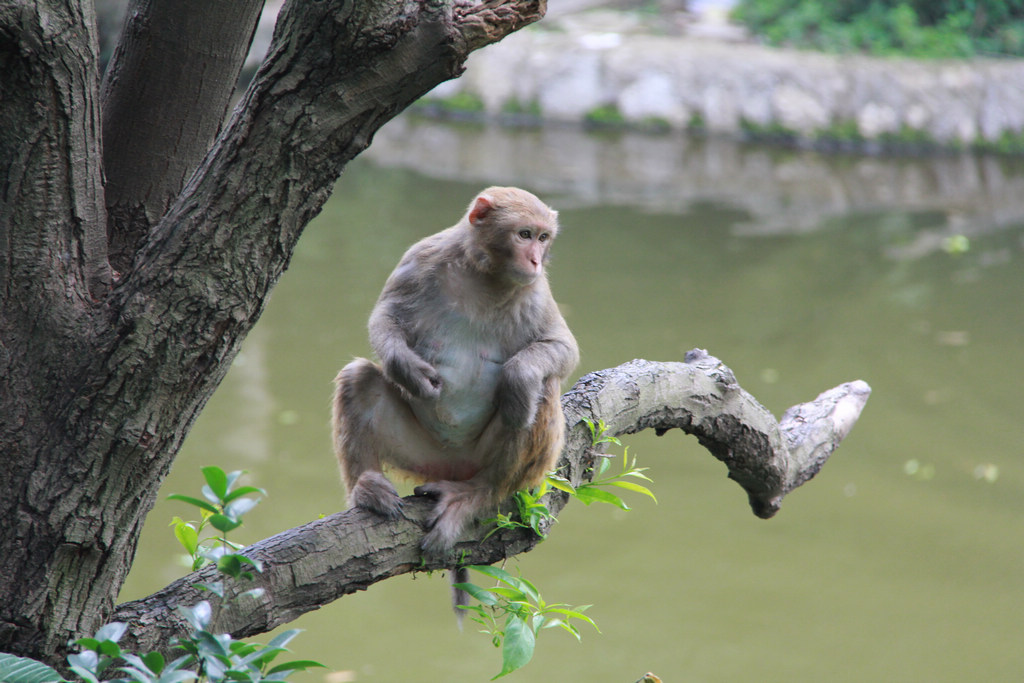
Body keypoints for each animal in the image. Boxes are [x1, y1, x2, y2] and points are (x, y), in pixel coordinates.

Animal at [333, 185, 581, 557]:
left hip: (482, 459)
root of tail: (454, 466)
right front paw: (406, 368)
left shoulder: (535, 291)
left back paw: (477, 493)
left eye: (543, 237)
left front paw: (519, 376)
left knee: (540, 390)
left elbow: (563, 348)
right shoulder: (420, 257)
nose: (536, 260)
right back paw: (366, 487)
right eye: (524, 235)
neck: (484, 273)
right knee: (358, 377)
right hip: (420, 451)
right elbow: (386, 316)